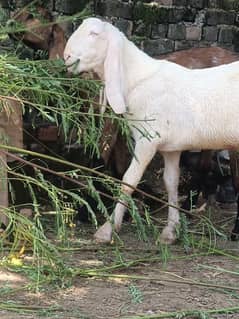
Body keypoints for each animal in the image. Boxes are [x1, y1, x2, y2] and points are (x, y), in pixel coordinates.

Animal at [63, 18, 239, 245]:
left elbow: (128, 181)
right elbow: (171, 183)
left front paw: (107, 230)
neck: (137, 80)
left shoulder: (146, 141)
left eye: (94, 34)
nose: (66, 57)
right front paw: (170, 231)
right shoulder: (171, 148)